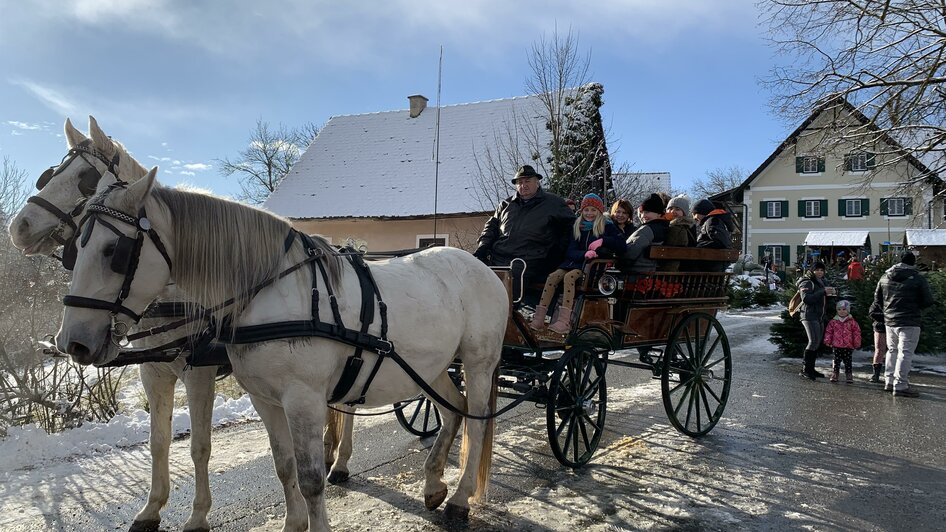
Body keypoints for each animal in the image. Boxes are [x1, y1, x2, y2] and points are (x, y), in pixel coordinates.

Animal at [53, 169, 502, 528]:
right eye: (75, 248)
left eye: (114, 251)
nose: (72, 341)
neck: (267, 289)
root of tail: (481, 267)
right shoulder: (264, 399)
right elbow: (284, 467)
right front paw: (293, 523)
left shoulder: (300, 398)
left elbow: (310, 478)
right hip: (430, 367)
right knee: (452, 409)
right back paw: (433, 483)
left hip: (478, 364)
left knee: (477, 420)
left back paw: (460, 498)